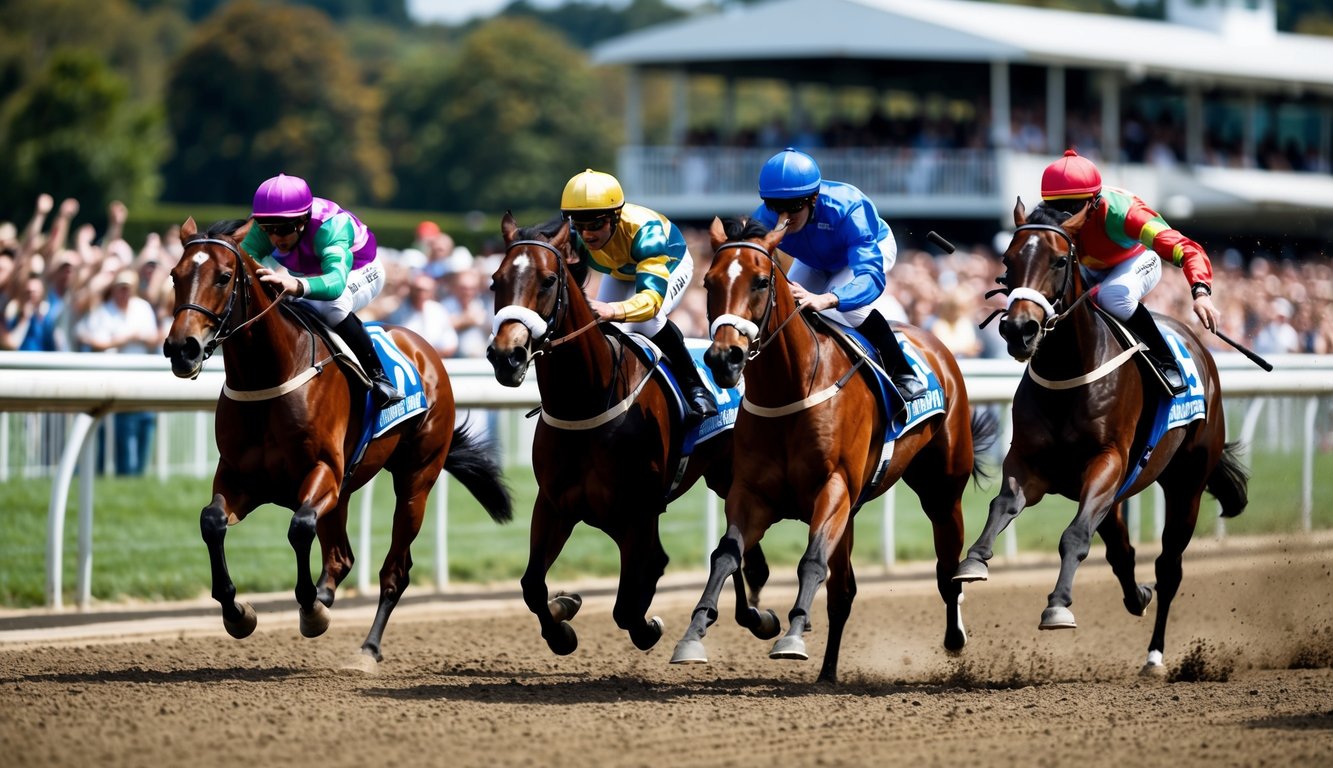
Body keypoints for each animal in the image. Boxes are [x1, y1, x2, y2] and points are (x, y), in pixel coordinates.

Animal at [157, 218, 509, 669]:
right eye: (174, 275)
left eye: (222, 276)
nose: (181, 349)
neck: (269, 375)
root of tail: (425, 350)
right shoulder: (240, 478)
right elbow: (211, 521)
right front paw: (237, 613)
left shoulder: (322, 471)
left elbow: (299, 528)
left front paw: (310, 609)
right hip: (344, 490)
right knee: (341, 556)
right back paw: (327, 597)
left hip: (415, 479)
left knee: (395, 570)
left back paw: (367, 649)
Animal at [487, 214, 778, 653]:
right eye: (495, 281)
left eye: (548, 280)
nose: (507, 356)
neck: (587, 403)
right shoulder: (555, 505)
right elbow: (533, 586)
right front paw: (563, 617)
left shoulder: (637, 515)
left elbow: (630, 603)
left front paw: (649, 626)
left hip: (730, 476)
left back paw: (756, 616)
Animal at [671, 217, 997, 682]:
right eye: (708, 282)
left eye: (761, 281)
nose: (722, 358)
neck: (791, 389)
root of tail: (933, 343)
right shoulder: (751, 494)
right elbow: (725, 556)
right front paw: (693, 635)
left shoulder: (834, 488)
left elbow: (810, 562)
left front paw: (791, 638)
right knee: (844, 591)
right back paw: (827, 673)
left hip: (941, 492)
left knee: (946, 569)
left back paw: (955, 638)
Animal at [959, 201, 1247, 674]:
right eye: (1007, 260)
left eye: (1060, 260)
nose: (1019, 330)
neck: (1068, 371)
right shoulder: (1029, 463)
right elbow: (1004, 504)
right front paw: (973, 560)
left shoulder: (1107, 461)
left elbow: (1075, 536)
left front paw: (1058, 605)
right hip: (1115, 494)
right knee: (1122, 552)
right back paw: (1138, 597)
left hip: (1186, 481)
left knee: (1169, 567)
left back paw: (1154, 654)